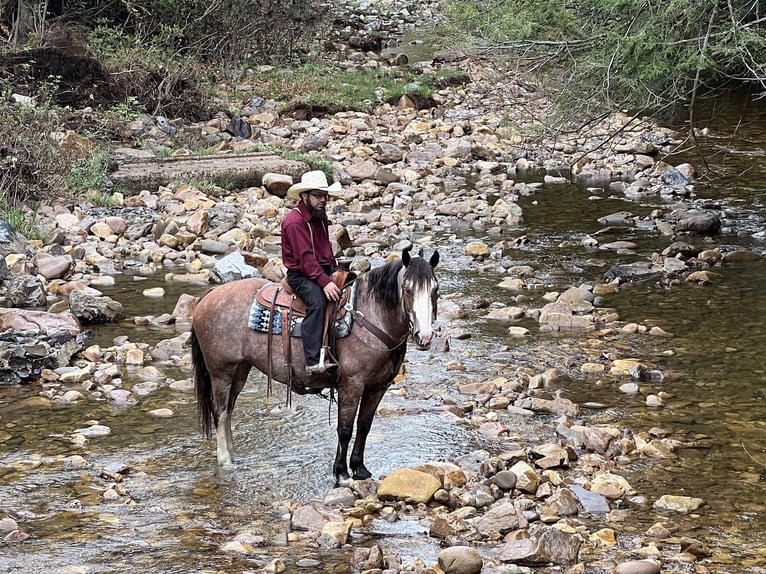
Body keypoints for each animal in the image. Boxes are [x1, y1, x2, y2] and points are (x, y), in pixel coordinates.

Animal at [192, 248, 440, 486]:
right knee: (220, 412)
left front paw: (359, 468)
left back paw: (233, 455)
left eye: (435, 289)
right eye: (407, 290)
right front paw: (342, 473)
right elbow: (345, 429)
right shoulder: (351, 384)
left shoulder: (377, 387)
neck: (370, 317)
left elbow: (364, 425)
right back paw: (225, 461)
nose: (425, 337)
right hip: (221, 372)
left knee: (229, 411)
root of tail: (208, 296)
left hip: (240, 370)